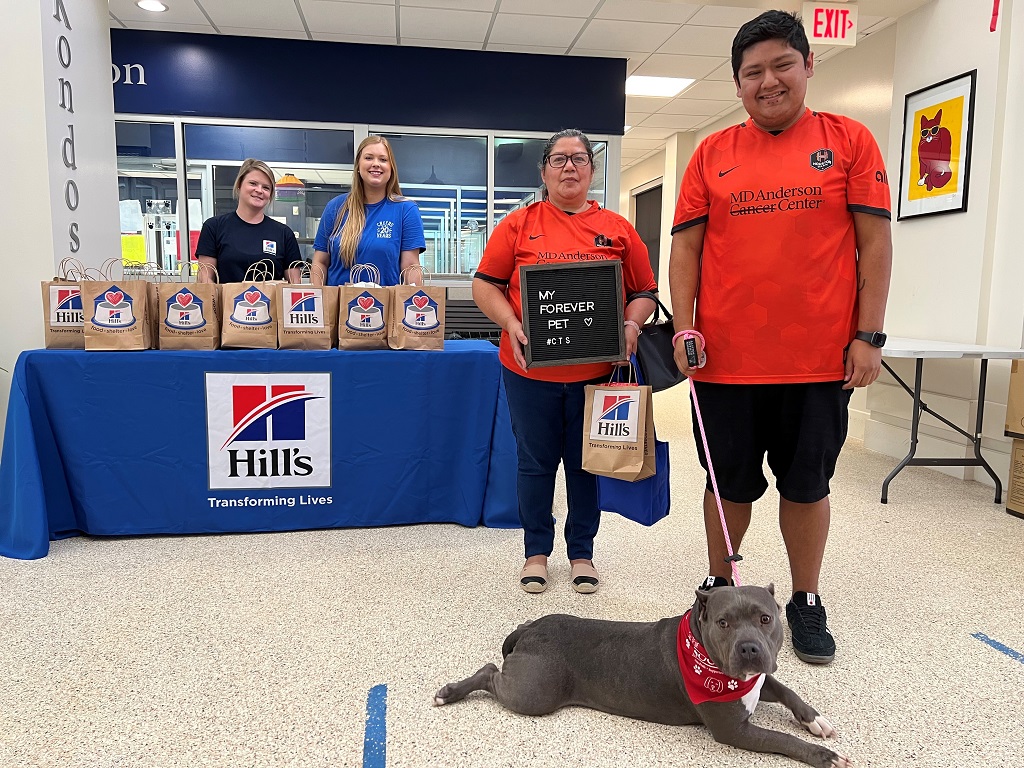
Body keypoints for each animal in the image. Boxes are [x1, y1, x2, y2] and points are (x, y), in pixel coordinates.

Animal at [434, 584, 851, 768]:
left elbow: (786, 690)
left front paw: (816, 720)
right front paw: (825, 756)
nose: (749, 649)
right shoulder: (734, 729)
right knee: (490, 673)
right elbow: (783, 739)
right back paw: (450, 692)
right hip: (534, 692)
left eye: (766, 618)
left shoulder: (756, 680)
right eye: (723, 623)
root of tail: (530, 629)